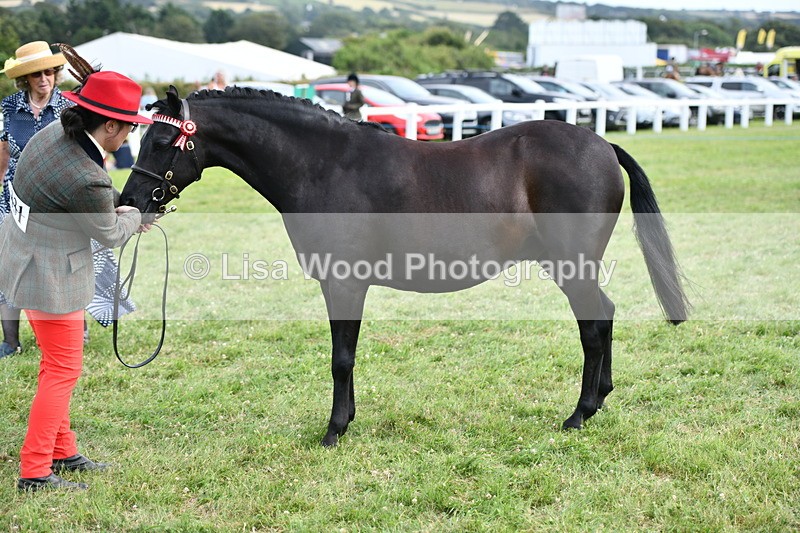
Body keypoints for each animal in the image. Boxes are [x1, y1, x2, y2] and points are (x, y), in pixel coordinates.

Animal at [120, 86, 689, 447]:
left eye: (163, 141)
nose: (132, 203)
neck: (325, 165)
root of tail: (602, 143)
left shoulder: (344, 283)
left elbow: (341, 358)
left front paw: (335, 430)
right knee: (604, 316)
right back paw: (599, 401)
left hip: (571, 265)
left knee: (592, 327)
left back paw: (579, 415)